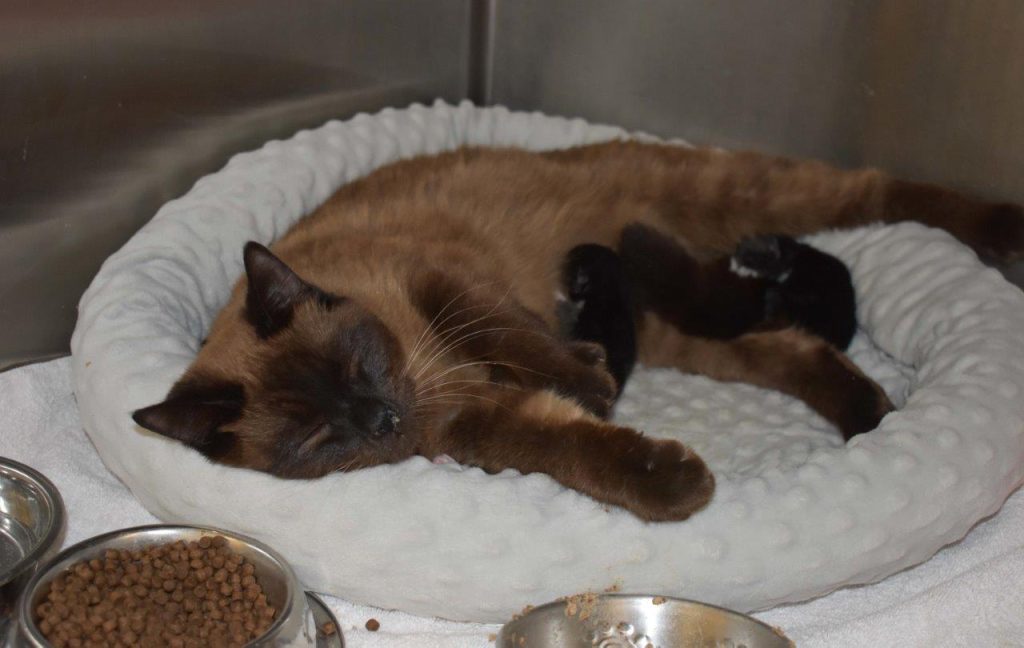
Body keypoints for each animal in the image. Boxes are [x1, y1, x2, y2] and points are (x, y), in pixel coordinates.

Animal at [130, 141, 1024, 520]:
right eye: (317, 439)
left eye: (356, 362)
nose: (380, 420)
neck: (421, 377)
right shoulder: (475, 425)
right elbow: (573, 449)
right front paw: (672, 485)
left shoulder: (445, 289)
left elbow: (518, 341)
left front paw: (589, 377)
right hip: (678, 325)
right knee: (794, 353)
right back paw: (870, 417)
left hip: (735, 200)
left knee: (876, 189)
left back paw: (1002, 228)